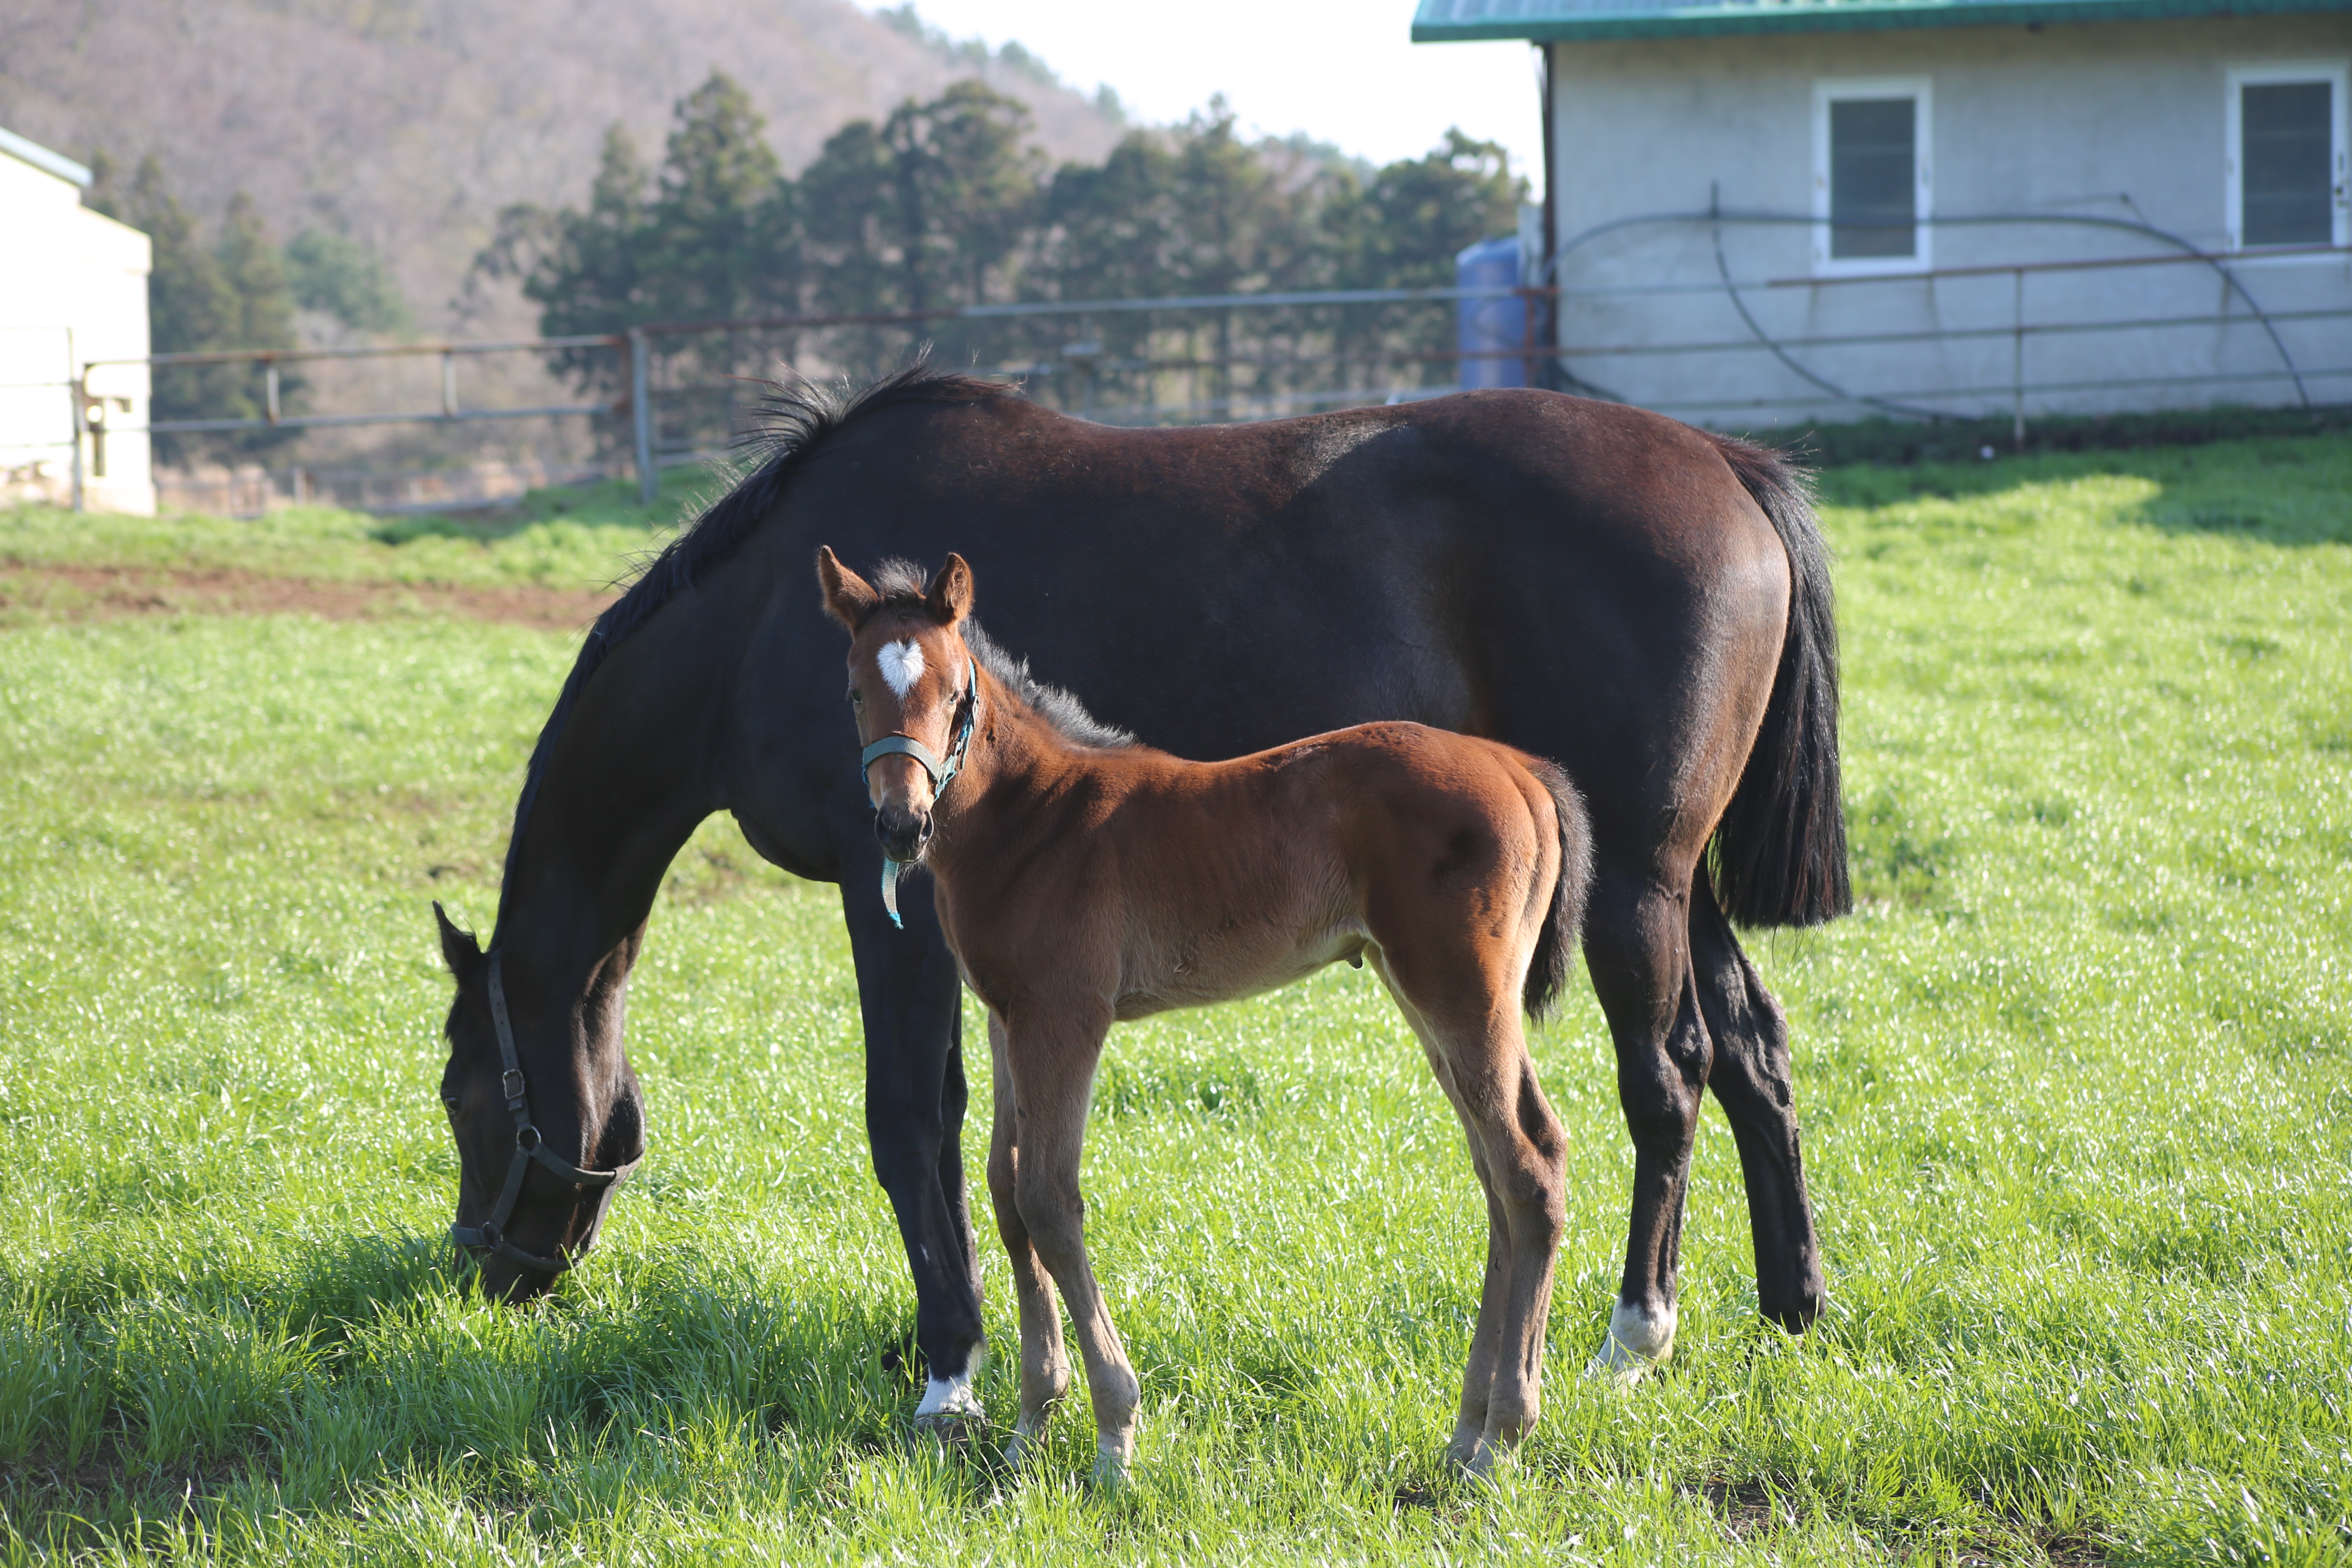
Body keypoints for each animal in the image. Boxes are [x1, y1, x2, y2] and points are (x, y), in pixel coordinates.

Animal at [813, 550, 1599, 1486]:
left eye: (952, 692)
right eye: (854, 691)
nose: (902, 824)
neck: (1034, 817)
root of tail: (1521, 769)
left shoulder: (1068, 1018)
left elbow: (1049, 1198)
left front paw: (1114, 1436)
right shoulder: (1009, 1016)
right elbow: (1006, 1191)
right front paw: (1032, 1424)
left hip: (1461, 993)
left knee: (1529, 1169)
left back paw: (1503, 1436)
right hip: (1430, 998)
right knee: (1502, 1172)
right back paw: (1467, 1430)